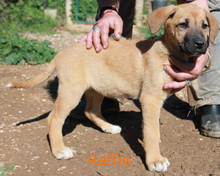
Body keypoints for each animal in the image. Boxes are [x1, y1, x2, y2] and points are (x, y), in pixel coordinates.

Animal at [7, 4, 218, 172]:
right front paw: (155, 160)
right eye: (183, 24)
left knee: (90, 111)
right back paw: (60, 150)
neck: (168, 52)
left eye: (205, 25)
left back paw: (109, 127)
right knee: (54, 119)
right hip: (72, 90)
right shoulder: (150, 99)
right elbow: (151, 132)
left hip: (97, 88)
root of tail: (62, 51)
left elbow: (152, 128)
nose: (201, 45)